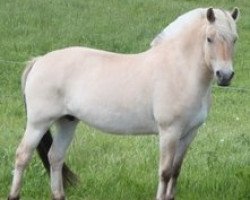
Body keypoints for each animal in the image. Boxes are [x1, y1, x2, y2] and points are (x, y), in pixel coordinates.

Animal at [7, 7, 238, 200]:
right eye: (209, 38)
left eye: (235, 39)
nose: (225, 75)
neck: (179, 70)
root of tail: (39, 60)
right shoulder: (169, 132)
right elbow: (164, 173)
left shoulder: (189, 134)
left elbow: (175, 171)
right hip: (38, 123)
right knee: (22, 157)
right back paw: (13, 195)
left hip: (67, 121)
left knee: (55, 157)